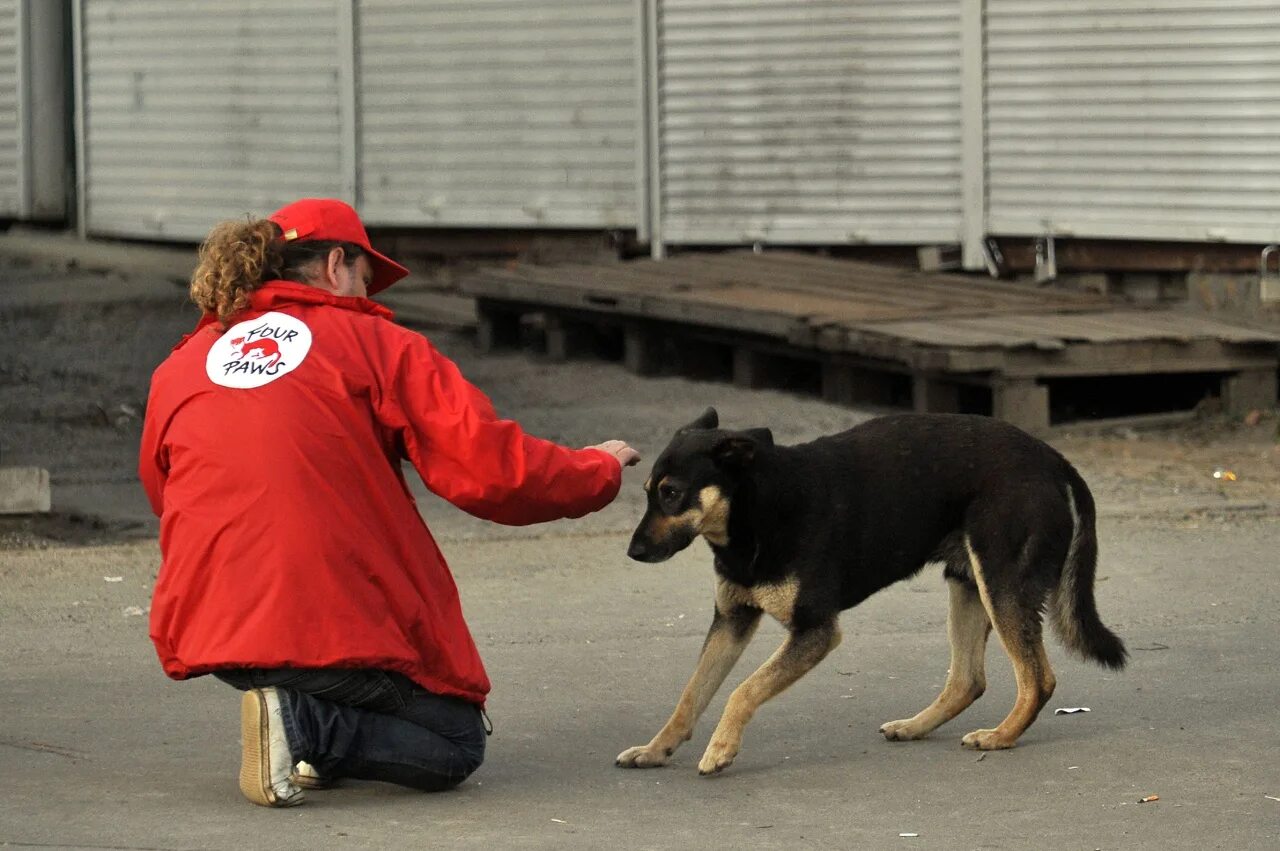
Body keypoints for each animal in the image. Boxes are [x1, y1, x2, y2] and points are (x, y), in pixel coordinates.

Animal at [619, 409, 1131, 772]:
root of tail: (1053, 459)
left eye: (671, 493)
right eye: (646, 491)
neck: (755, 510)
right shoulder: (731, 621)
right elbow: (692, 694)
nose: (633, 551)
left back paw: (1001, 736)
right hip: (969, 585)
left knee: (1037, 679)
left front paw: (721, 748)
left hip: (1002, 586)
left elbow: (742, 691)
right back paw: (916, 726)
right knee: (969, 680)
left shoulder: (814, 631)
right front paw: (656, 749)